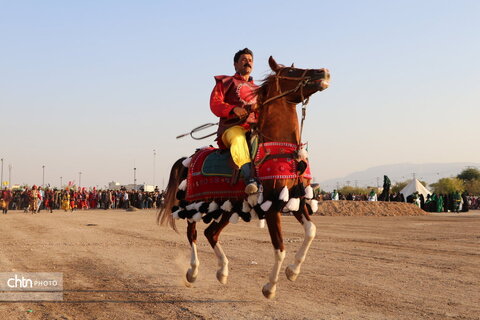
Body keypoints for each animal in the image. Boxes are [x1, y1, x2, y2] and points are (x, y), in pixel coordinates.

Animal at [158, 56, 330, 298]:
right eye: (291, 71)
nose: (323, 72)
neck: (280, 149)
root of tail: (188, 158)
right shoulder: (273, 204)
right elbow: (280, 248)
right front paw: (270, 287)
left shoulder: (293, 196)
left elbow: (311, 231)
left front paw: (293, 271)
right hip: (193, 204)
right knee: (192, 234)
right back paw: (193, 272)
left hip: (228, 206)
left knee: (211, 233)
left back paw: (222, 271)